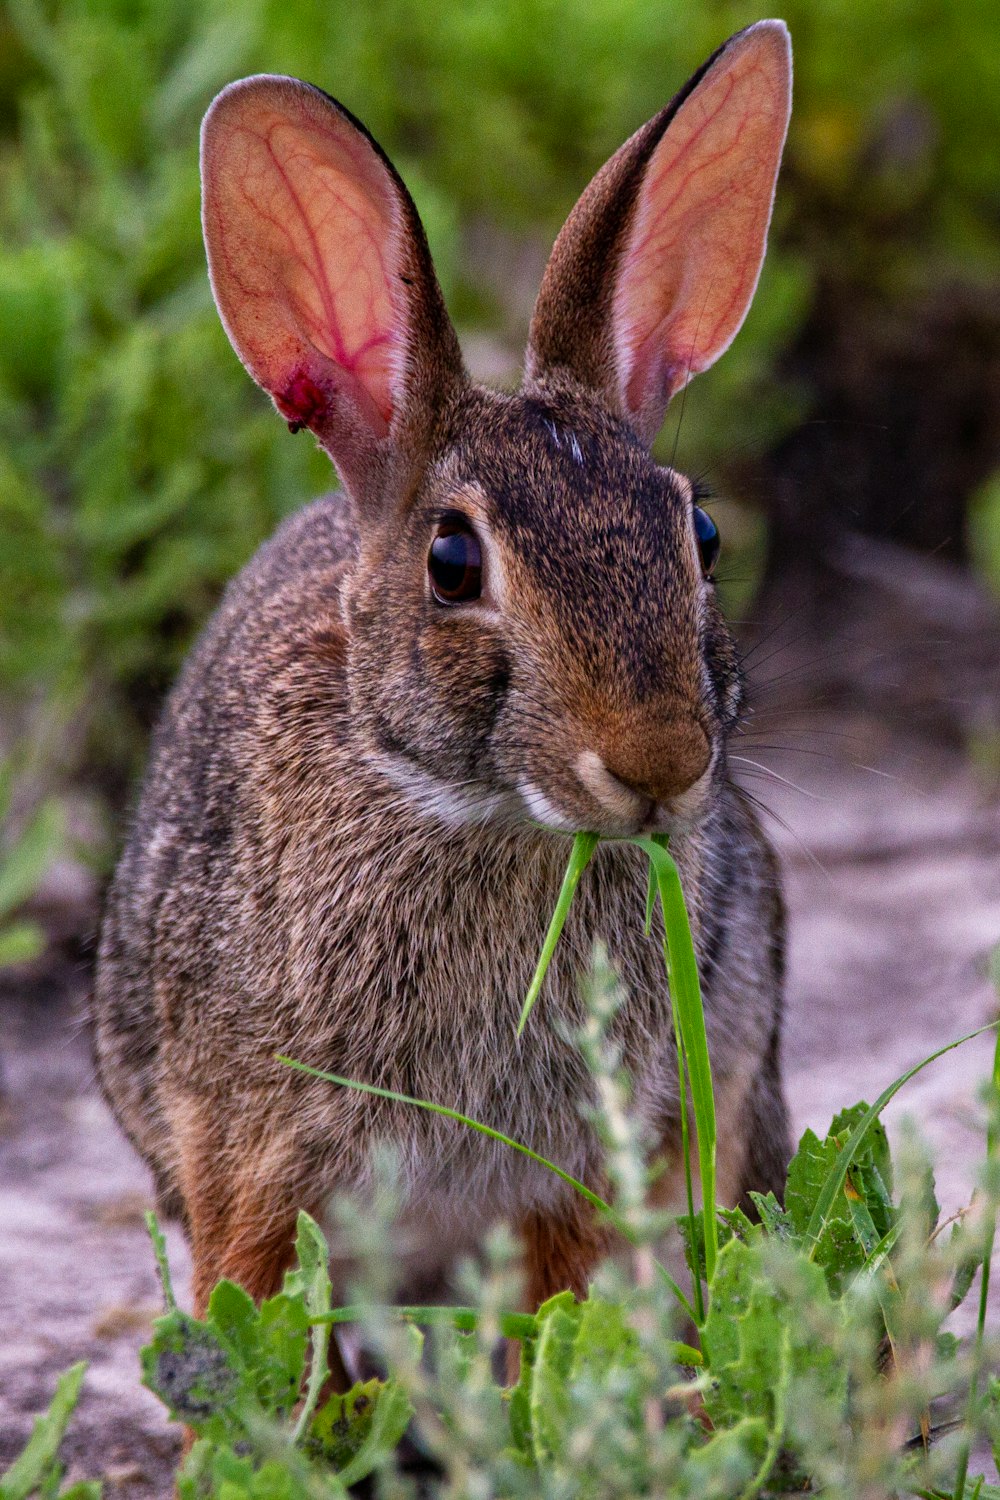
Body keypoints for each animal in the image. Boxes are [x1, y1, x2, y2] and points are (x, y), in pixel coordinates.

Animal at [93, 17, 797, 1374]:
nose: (659, 762)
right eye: (453, 564)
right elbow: (264, 1319)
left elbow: (565, 1318)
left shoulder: (581, 1170)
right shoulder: (248, 1164)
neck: (466, 807)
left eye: (700, 532)